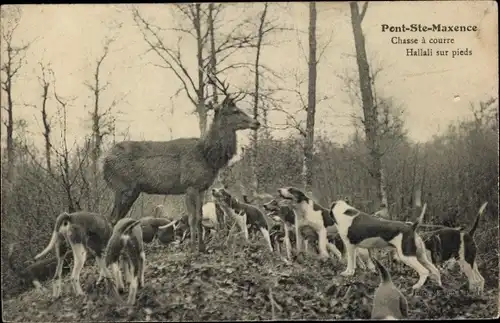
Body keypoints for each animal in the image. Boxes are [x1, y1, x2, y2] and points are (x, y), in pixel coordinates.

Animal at [99, 77, 260, 254]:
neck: (207, 155)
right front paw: (192, 248)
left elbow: (200, 217)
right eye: (235, 111)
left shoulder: (202, 188)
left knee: (117, 218)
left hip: (130, 190)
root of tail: (103, 160)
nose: (256, 122)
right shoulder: (189, 184)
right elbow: (192, 218)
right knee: (113, 218)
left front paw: (202, 248)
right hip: (123, 186)